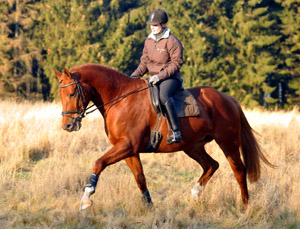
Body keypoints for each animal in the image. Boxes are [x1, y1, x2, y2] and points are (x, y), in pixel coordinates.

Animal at [53, 63, 272, 211]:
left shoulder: (126, 146)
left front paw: (86, 198)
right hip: (193, 146)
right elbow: (140, 178)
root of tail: (229, 99)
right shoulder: (129, 150)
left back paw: (245, 207)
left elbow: (98, 163)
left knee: (239, 171)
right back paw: (195, 193)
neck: (119, 98)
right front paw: (149, 207)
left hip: (228, 143)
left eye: (72, 93)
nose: (68, 125)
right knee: (211, 165)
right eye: (62, 95)